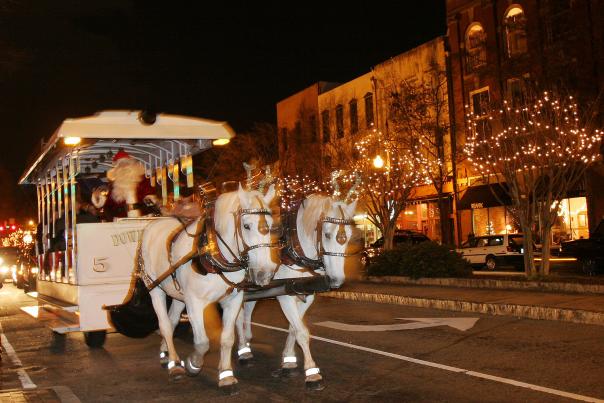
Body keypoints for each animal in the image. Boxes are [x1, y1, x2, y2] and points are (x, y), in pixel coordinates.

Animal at [140, 185, 278, 392]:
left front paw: (226, 375)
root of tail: (154, 222)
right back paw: (175, 365)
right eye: (246, 226)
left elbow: (227, 338)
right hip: (155, 288)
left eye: (270, 225)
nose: (264, 274)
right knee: (164, 324)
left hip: (178, 295)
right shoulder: (194, 302)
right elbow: (202, 342)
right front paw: (193, 364)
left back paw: (166, 354)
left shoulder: (233, 300)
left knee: (171, 322)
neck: (214, 252)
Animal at [236, 194, 358, 390]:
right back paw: (243, 351)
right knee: (238, 317)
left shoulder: (307, 294)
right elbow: (301, 332)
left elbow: (294, 327)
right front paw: (312, 373)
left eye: (348, 237)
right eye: (327, 234)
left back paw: (246, 342)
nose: (336, 281)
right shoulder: (285, 294)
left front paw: (288, 360)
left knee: (247, 311)